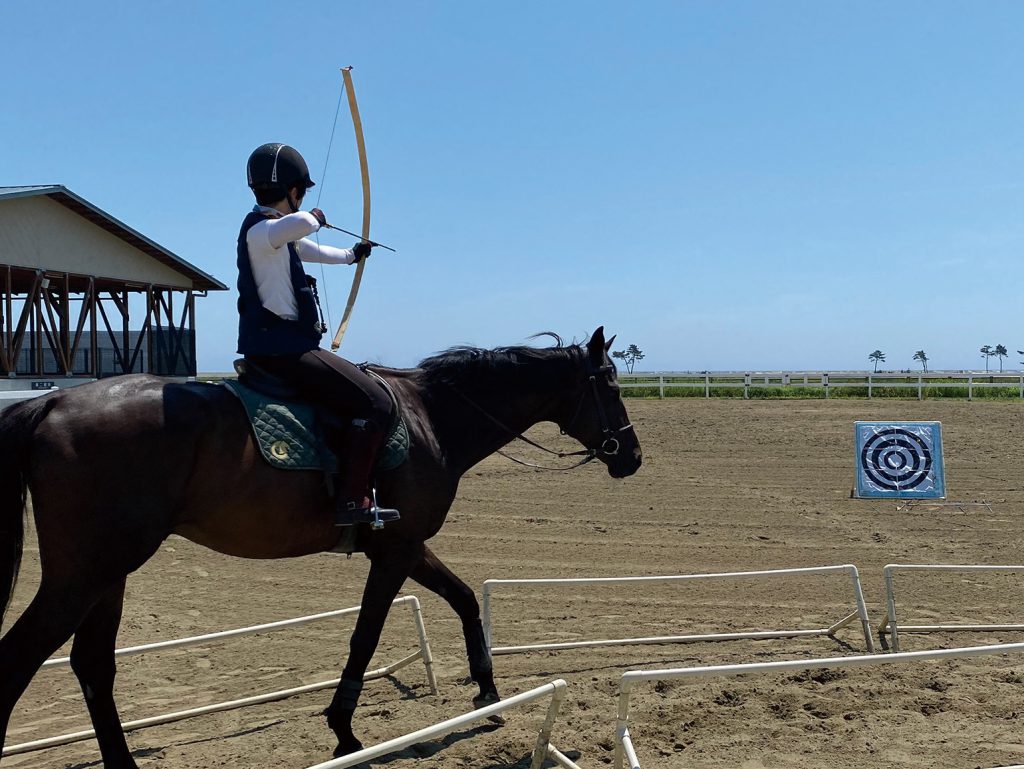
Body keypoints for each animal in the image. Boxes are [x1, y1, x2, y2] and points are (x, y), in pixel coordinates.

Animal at [0, 325, 638, 769]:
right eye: (610, 383)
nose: (631, 456)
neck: (431, 417)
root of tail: (51, 403)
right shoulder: (396, 552)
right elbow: (366, 635)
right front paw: (343, 730)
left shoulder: (406, 546)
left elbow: (461, 600)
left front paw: (487, 689)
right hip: (84, 574)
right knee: (18, 661)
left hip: (108, 574)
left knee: (92, 665)